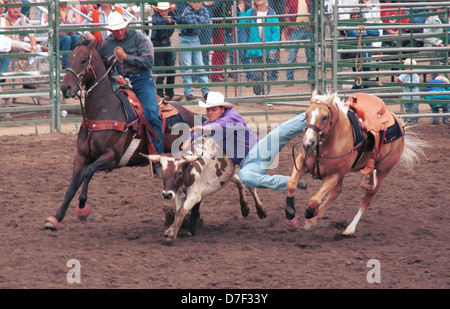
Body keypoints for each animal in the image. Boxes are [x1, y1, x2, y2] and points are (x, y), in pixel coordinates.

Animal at [44, 40, 202, 229]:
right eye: (69, 59)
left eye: (83, 60)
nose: (65, 88)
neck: (104, 110)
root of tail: (197, 117)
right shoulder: (81, 156)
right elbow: (72, 186)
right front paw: (56, 217)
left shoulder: (112, 157)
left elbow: (89, 172)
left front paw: (82, 207)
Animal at [284, 90, 426, 235]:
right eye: (306, 114)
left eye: (324, 117)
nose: (308, 143)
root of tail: (399, 122)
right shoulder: (302, 162)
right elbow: (291, 184)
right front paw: (291, 218)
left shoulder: (334, 175)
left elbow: (314, 200)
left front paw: (309, 213)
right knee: (336, 193)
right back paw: (314, 220)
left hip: (381, 172)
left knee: (366, 200)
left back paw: (349, 228)